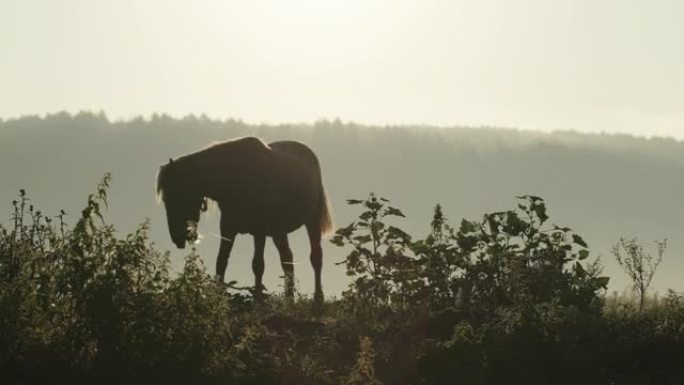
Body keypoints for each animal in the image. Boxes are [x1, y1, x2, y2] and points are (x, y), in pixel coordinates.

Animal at [158, 136, 334, 304]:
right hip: (278, 231)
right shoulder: (228, 229)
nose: (177, 237)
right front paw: (218, 299)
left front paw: (258, 301)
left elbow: (258, 265)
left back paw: (318, 300)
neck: (239, 178)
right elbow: (221, 262)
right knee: (287, 260)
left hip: (311, 222)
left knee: (316, 257)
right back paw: (289, 301)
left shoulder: (259, 231)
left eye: (176, 195)